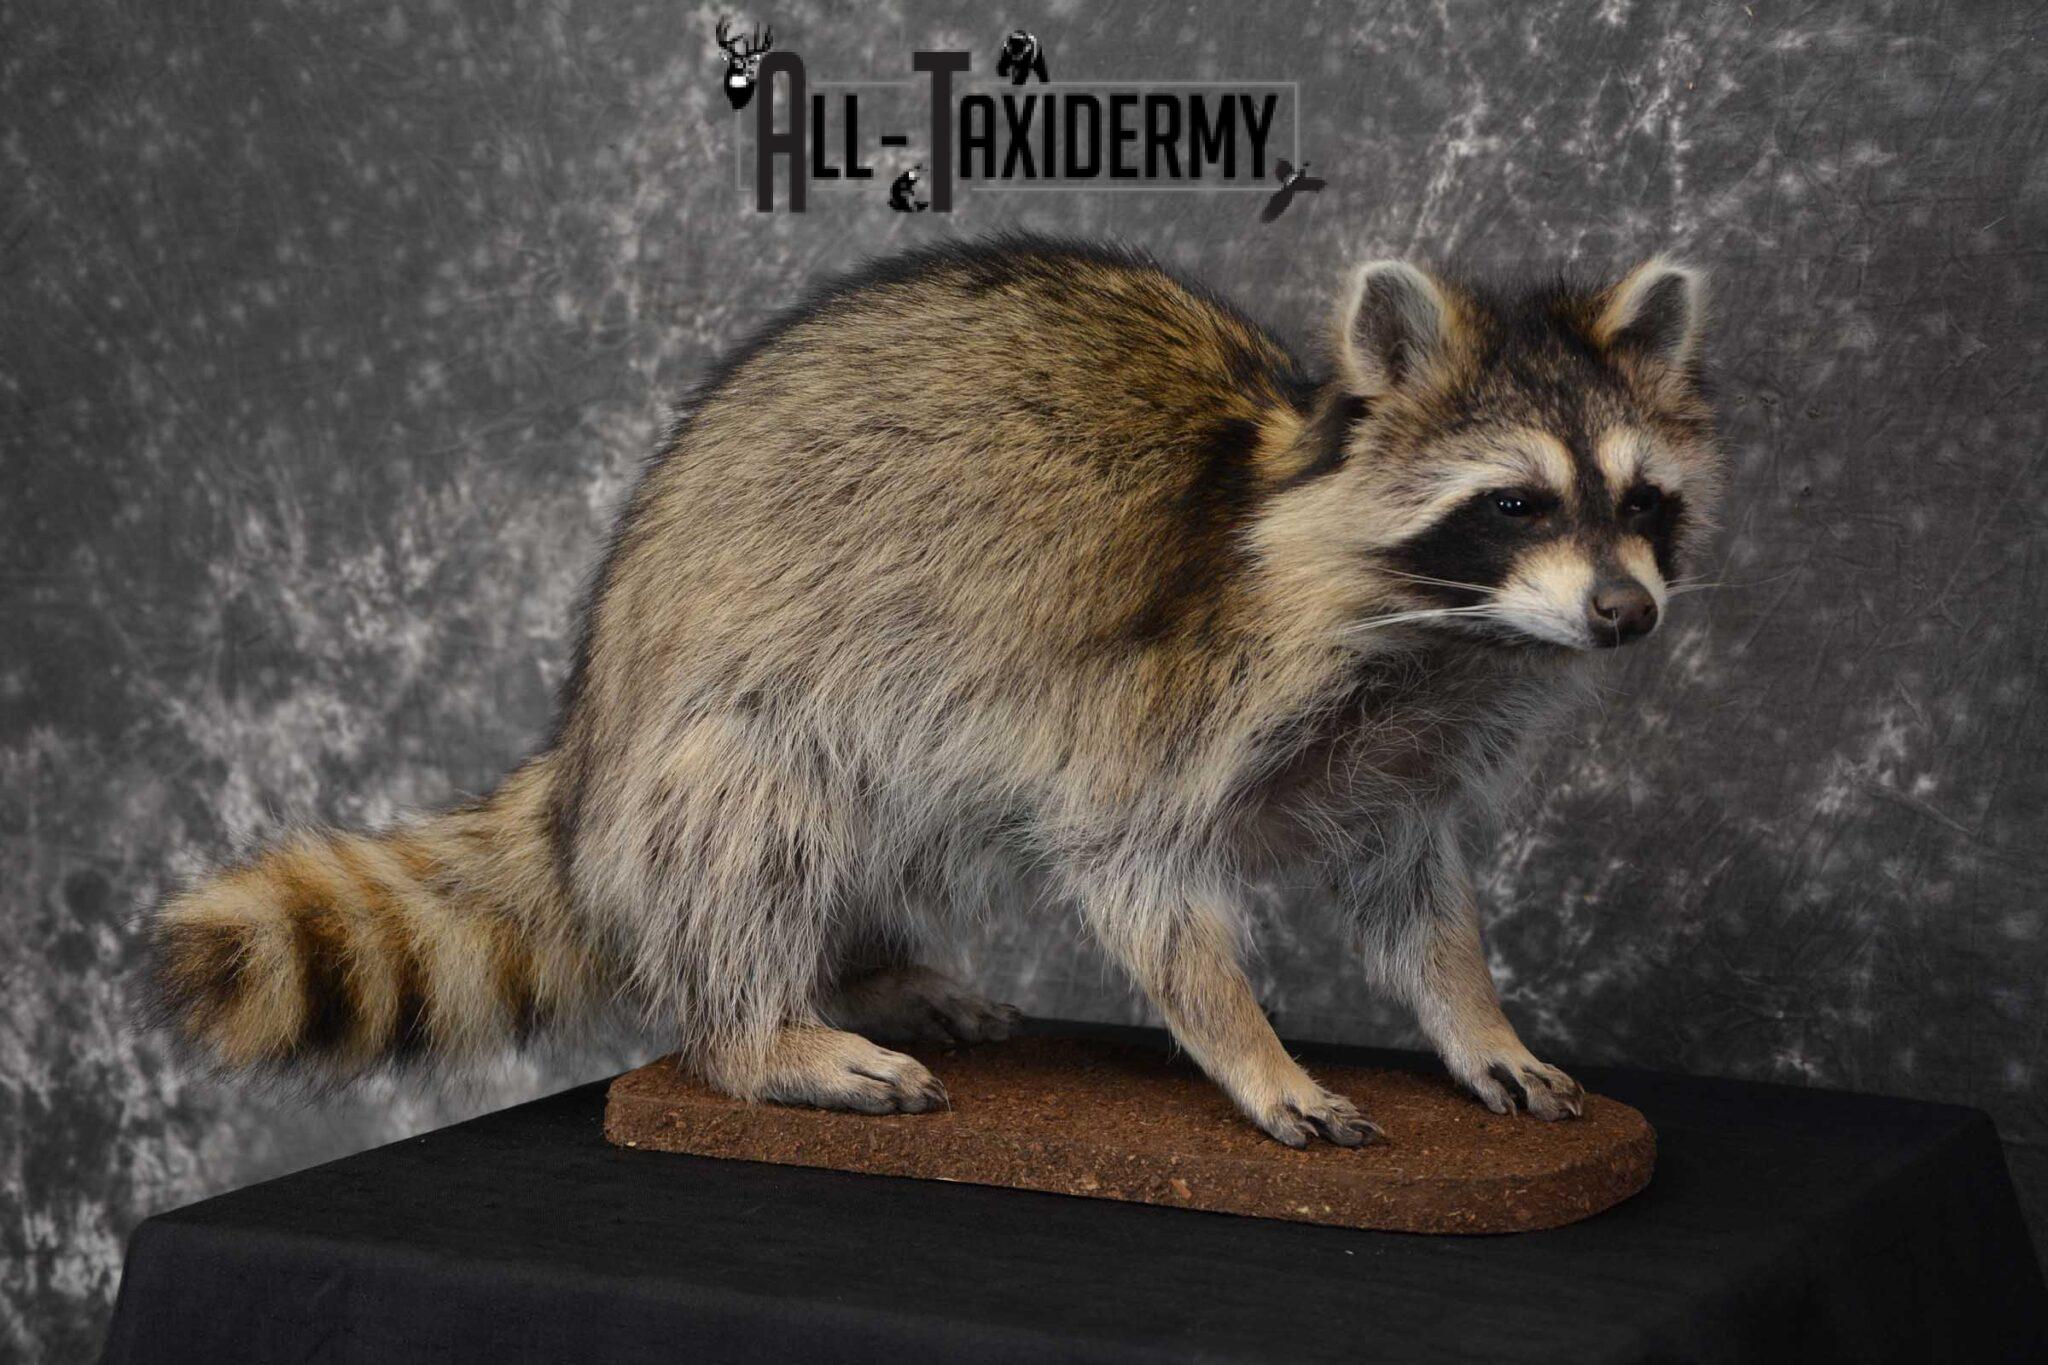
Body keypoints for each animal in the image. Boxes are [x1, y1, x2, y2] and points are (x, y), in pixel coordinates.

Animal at [152, 236, 1720, 1147]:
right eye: (1515, 504)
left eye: (1641, 501)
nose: (1626, 614)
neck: (1444, 634)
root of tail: (587, 732)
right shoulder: (1173, 692)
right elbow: (1135, 874)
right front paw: (1247, 1043)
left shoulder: (1410, 743)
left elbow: (1413, 890)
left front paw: (1477, 1022)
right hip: (729, 708)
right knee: (754, 820)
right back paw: (763, 1028)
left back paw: (865, 967)